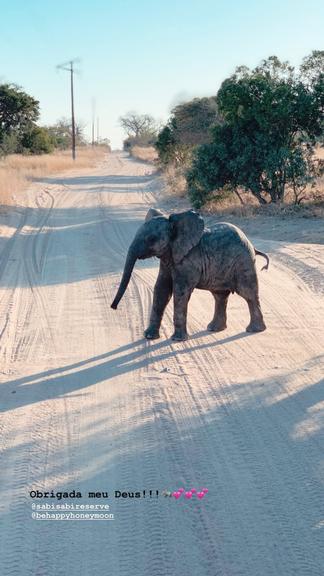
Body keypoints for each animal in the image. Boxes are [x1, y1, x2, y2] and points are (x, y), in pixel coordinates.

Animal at [111, 208, 268, 340]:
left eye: (151, 239)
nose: (114, 307)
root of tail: (252, 245)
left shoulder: (189, 260)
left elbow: (180, 292)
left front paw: (178, 339)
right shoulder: (167, 260)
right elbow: (161, 289)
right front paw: (149, 337)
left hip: (243, 262)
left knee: (248, 294)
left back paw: (254, 330)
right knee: (220, 296)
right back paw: (214, 328)